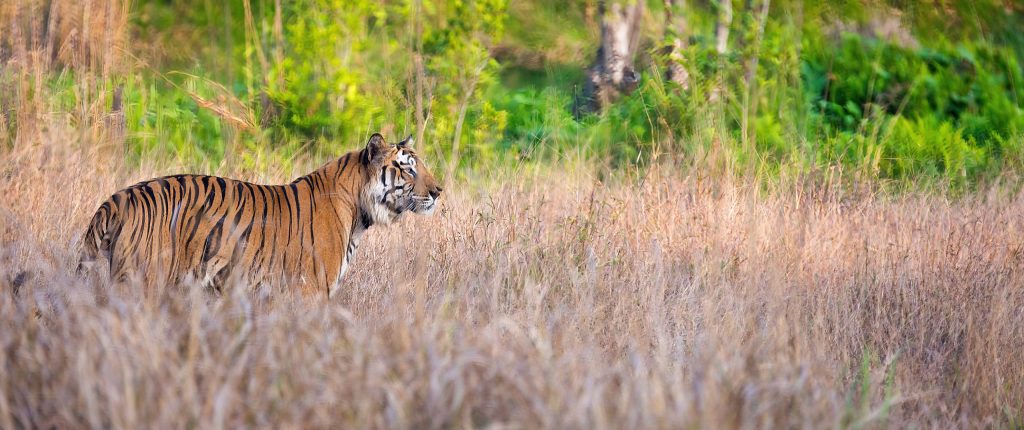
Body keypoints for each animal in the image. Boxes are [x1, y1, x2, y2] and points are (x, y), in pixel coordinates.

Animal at [78, 133, 442, 298]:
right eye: (408, 169)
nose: (439, 191)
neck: (359, 213)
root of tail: (116, 199)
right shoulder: (311, 291)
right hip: (141, 283)